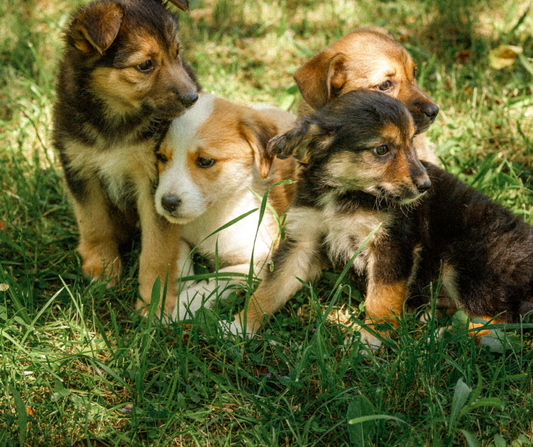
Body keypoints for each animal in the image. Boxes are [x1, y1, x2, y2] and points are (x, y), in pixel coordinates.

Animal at [53, 0, 200, 316]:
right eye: (145, 65)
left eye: (177, 52)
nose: (193, 98)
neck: (117, 118)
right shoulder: (79, 167)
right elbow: (93, 221)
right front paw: (102, 267)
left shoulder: (155, 183)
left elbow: (157, 250)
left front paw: (154, 302)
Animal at [154, 93, 298, 318]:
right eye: (161, 157)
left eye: (205, 161)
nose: (167, 203)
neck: (211, 216)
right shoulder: (179, 234)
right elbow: (181, 257)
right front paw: (181, 284)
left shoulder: (259, 260)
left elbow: (217, 280)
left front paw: (181, 306)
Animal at [233, 91, 532, 348]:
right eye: (382, 149)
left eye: (411, 143)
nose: (425, 186)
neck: (344, 194)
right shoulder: (302, 240)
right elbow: (270, 288)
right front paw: (240, 325)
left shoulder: (392, 243)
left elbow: (381, 297)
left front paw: (371, 338)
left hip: (468, 263)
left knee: (500, 324)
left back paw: (443, 336)